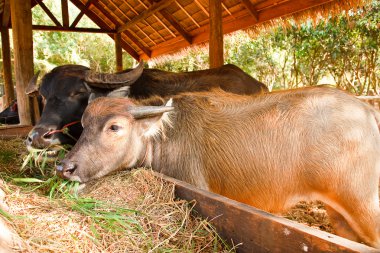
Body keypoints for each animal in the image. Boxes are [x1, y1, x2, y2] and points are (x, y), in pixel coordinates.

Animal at [56, 86, 380, 247]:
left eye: (114, 127)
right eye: (83, 124)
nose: (65, 167)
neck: (163, 135)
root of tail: (365, 110)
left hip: (363, 200)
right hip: (338, 211)